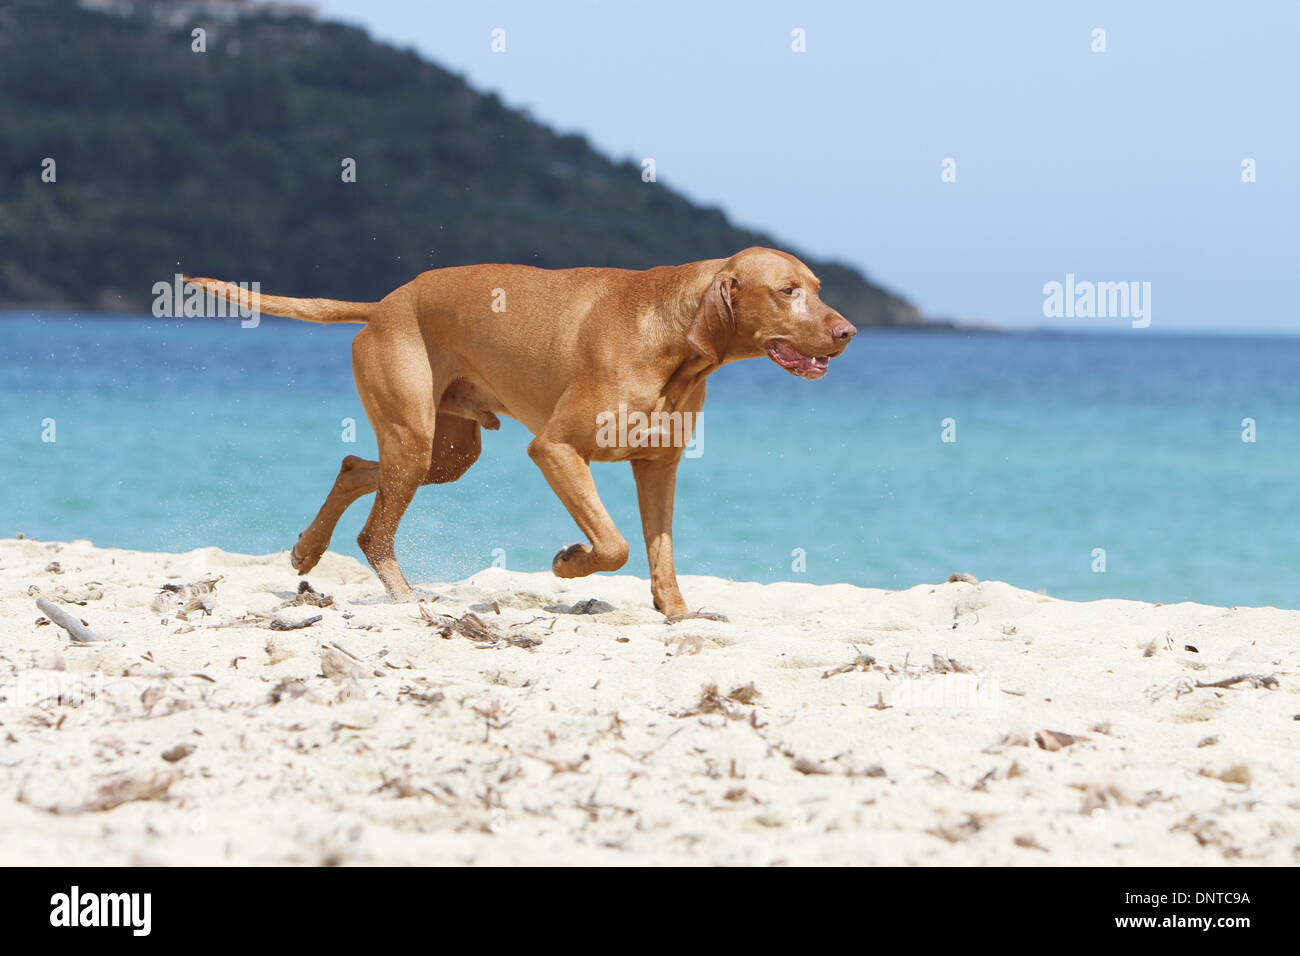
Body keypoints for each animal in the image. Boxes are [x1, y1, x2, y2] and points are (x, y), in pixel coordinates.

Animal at [183, 247, 852, 621]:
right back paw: (404, 599)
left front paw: (679, 615)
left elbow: (659, 554)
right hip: (414, 441)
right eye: (787, 291)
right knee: (375, 533)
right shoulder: (555, 449)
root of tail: (384, 303)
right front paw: (569, 562)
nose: (847, 332)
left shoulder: (658, 468)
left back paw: (306, 549)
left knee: (352, 467)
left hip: (447, 454)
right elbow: (615, 546)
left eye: (817, 288)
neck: (673, 335)